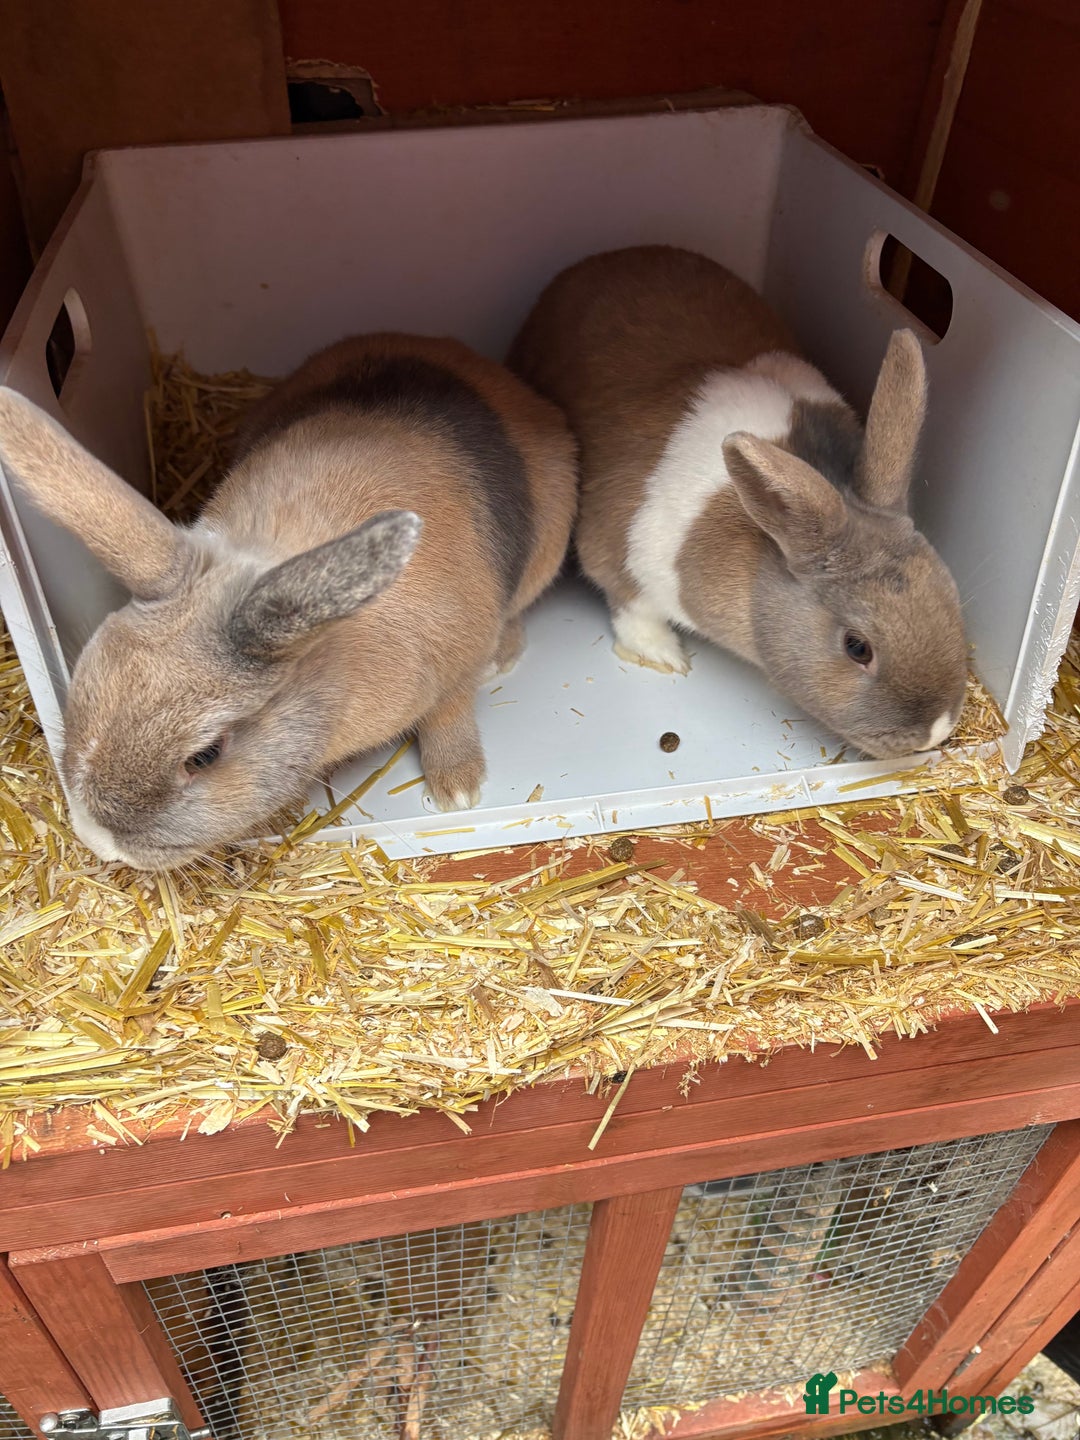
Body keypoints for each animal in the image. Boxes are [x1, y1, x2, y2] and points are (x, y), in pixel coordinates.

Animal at [0, 333, 577, 869]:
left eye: (204, 756)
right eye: (84, 682)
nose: (100, 841)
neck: (332, 660)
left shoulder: (456, 659)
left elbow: (448, 711)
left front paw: (458, 789)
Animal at [509, 244, 968, 761]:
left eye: (951, 595)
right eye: (857, 647)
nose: (934, 732)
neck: (766, 539)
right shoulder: (621, 555)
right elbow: (632, 609)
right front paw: (665, 656)